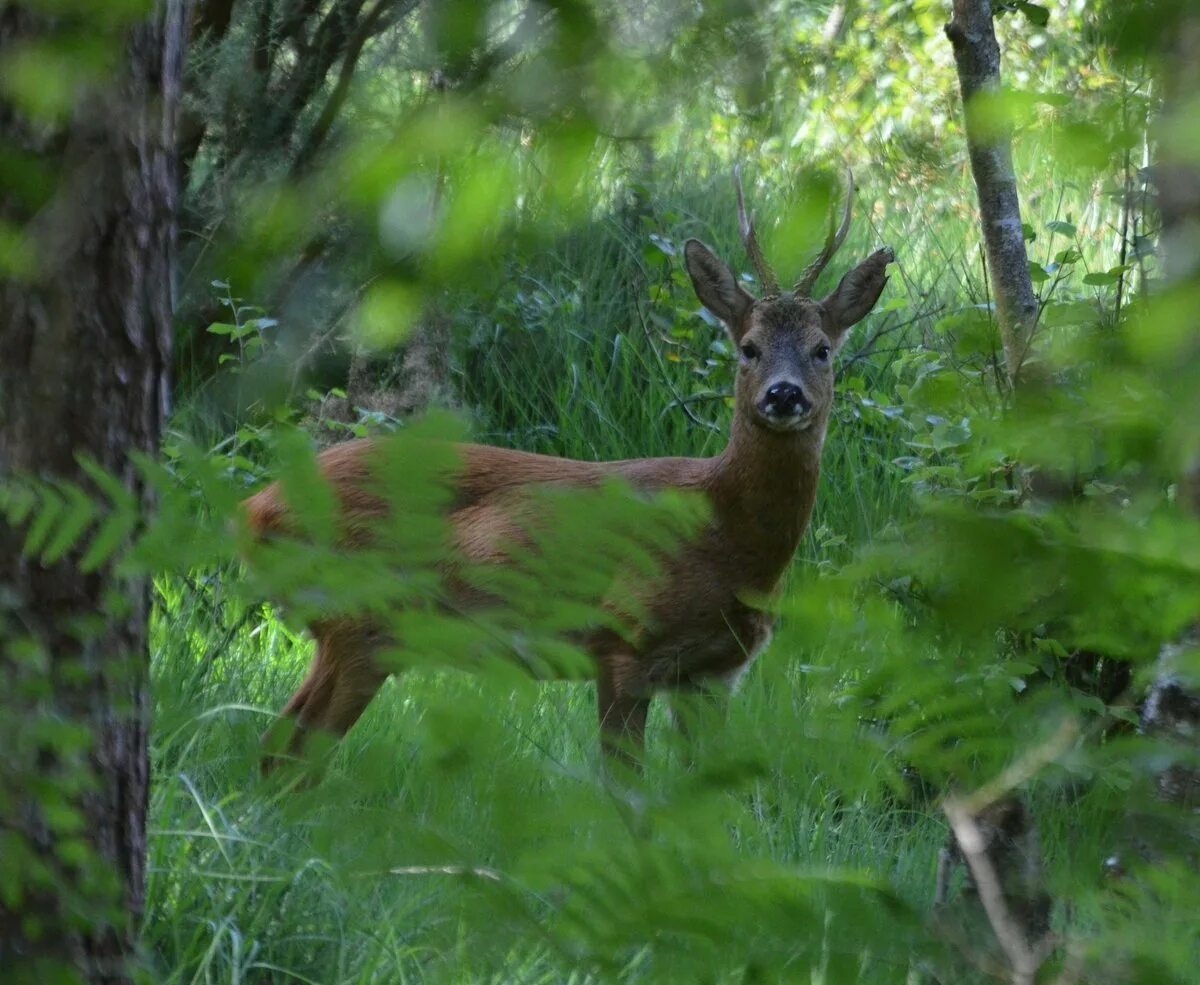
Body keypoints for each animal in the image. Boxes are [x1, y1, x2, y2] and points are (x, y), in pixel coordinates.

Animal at [243, 169, 897, 767]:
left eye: (823, 349)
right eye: (748, 348)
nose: (783, 395)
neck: (724, 533)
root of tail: (255, 506)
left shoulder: (715, 675)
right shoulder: (624, 642)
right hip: (357, 618)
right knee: (288, 751)